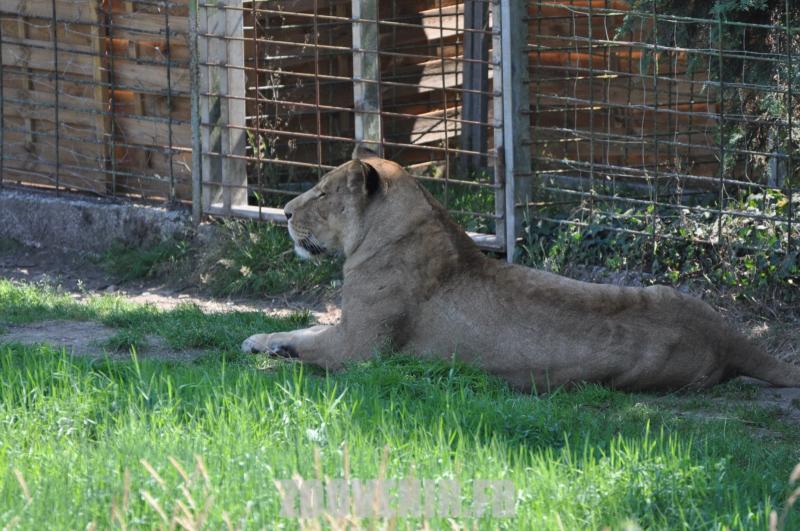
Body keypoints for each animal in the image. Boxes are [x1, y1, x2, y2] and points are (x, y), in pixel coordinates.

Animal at [242, 147, 800, 392]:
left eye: (321, 193)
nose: (284, 212)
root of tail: (726, 336)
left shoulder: (361, 350)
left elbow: (310, 343)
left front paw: (269, 346)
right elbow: (304, 329)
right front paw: (263, 341)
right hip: (670, 291)